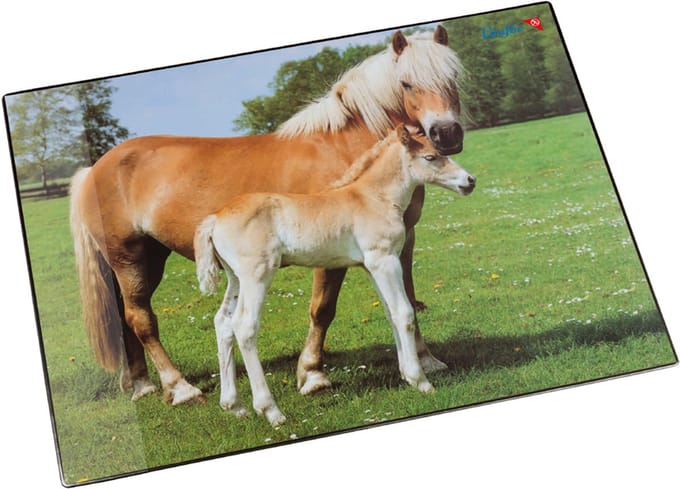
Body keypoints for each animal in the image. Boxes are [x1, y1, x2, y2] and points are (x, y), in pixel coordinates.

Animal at [69, 26, 466, 405]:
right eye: (407, 83)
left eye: (453, 77)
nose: (446, 133)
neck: (345, 152)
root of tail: (94, 168)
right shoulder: (333, 257)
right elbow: (323, 309)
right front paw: (312, 375)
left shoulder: (401, 242)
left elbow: (405, 300)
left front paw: (426, 360)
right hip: (129, 258)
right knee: (141, 319)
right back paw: (179, 388)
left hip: (150, 258)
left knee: (127, 318)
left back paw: (141, 384)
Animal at [194, 124, 476, 426]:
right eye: (430, 157)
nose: (470, 181)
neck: (373, 198)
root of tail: (215, 217)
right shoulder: (384, 260)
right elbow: (404, 313)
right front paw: (420, 380)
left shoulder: (371, 266)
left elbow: (390, 313)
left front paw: (406, 375)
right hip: (256, 275)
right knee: (244, 327)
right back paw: (271, 411)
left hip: (235, 278)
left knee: (223, 323)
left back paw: (234, 405)